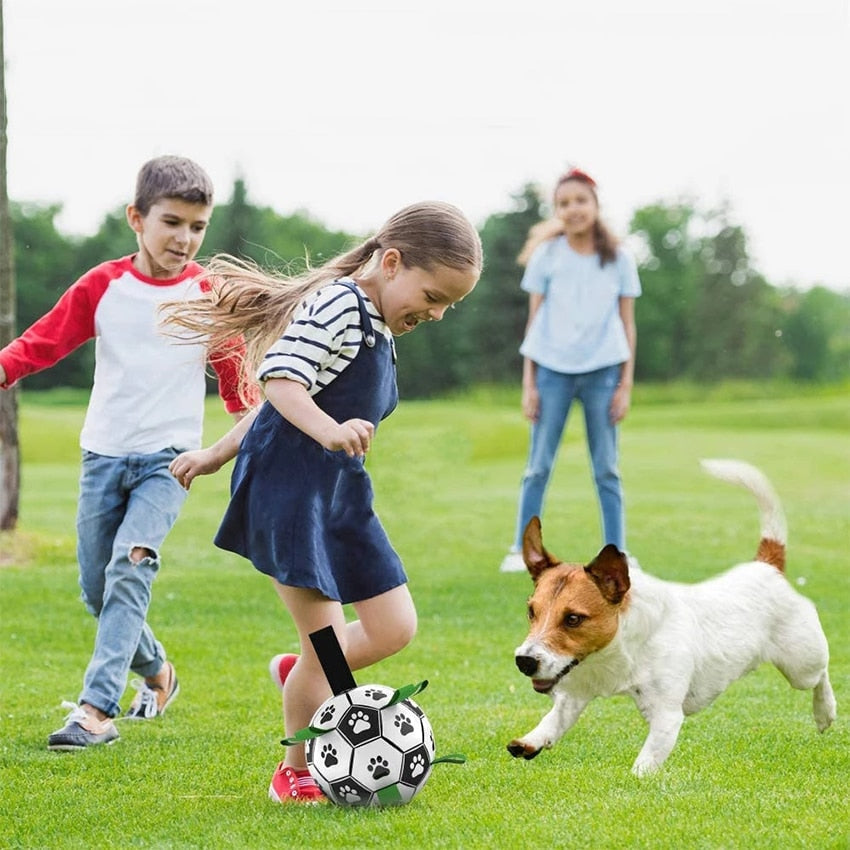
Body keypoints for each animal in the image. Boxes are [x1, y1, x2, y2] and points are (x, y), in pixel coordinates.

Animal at [506, 460, 832, 772]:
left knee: (821, 674)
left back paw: (824, 712)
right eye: (531, 611)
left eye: (573, 619)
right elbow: (554, 720)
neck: (617, 651)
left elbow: (645, 763)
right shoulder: (575, 692)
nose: (524, 661)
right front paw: (531, 740)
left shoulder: (666, 716)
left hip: (801, 663)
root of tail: (766, 566)